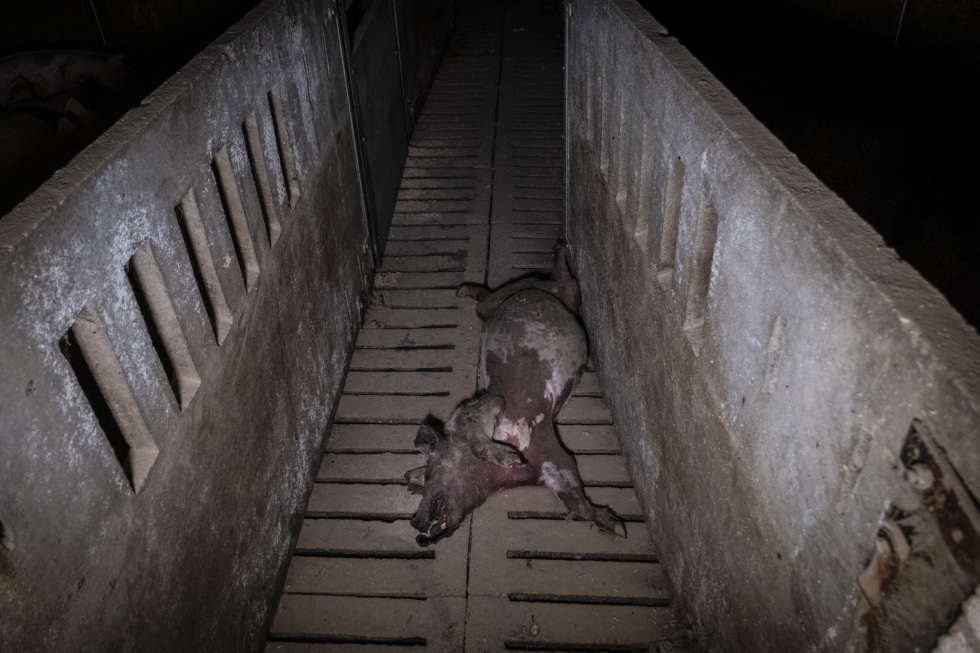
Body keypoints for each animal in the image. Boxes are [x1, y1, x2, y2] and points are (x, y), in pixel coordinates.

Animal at [408, 244, 628, 544]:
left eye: (430, 475)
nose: (414, 524)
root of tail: (534, 285)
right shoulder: (551, 461)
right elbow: (575, 498)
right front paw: (619, 527)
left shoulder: (499, 410)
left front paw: (620, 529)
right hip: (542, 298)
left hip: (557, 293)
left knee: (551, 283)